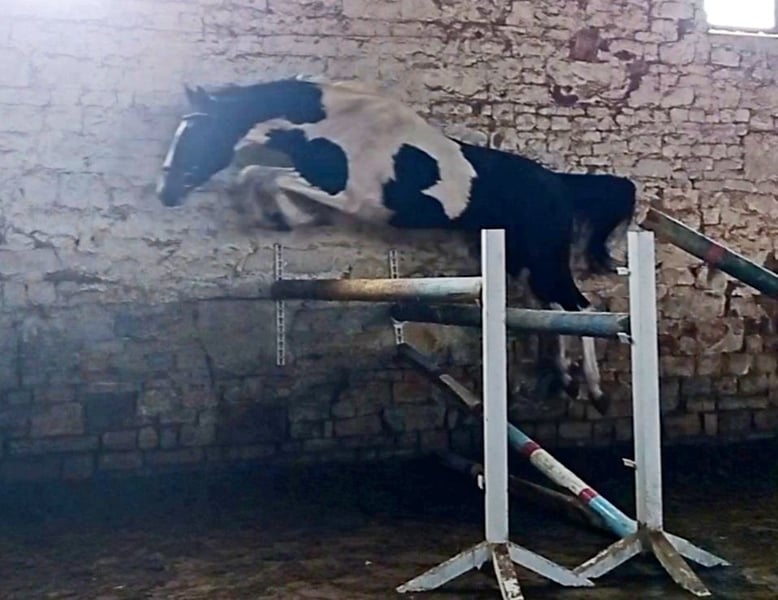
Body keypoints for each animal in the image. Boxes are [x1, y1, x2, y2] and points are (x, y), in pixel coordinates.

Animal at [156, 76, 637, 414]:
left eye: (196, 135)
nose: (165, 193)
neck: (335, 128)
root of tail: (557, 183)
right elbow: (255, 176)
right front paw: (282, 216)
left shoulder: (349, 196)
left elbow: (261, 176)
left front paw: (288, 217)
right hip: (524, 259)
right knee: (554, 308)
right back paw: (565, 379)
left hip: (542, 256)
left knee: (581, 307)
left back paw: (595, 391)